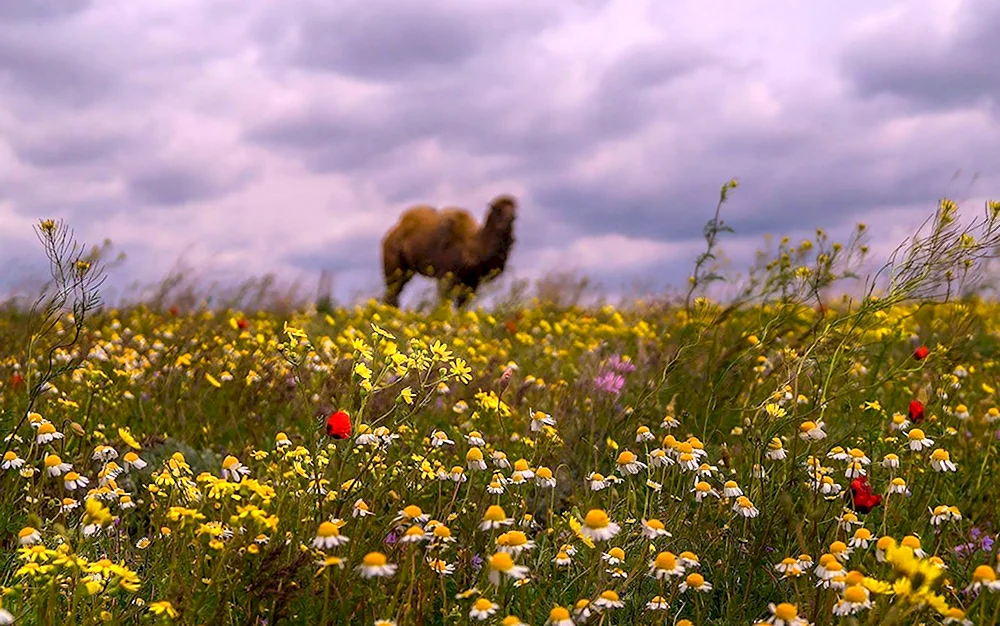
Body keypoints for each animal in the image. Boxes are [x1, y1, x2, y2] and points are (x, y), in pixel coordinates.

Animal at [382, 193, 520, 304]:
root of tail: (389, 236)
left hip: (407, 272)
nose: (511, 218)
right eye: (498, 211)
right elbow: (444, 301)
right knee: (392, 293)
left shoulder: (472, 282)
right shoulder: (446, 277)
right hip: (394, 269)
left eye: (514, 212)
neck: (474, 248)